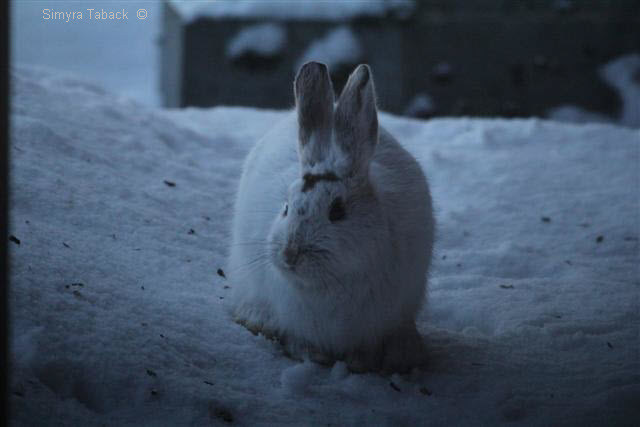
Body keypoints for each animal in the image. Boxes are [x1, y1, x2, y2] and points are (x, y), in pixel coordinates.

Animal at [228, 62, 434, 373]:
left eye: (337, 211)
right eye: (286, 206)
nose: (290, 255)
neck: (330, 283)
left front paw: (361, 361)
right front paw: (314, 355)